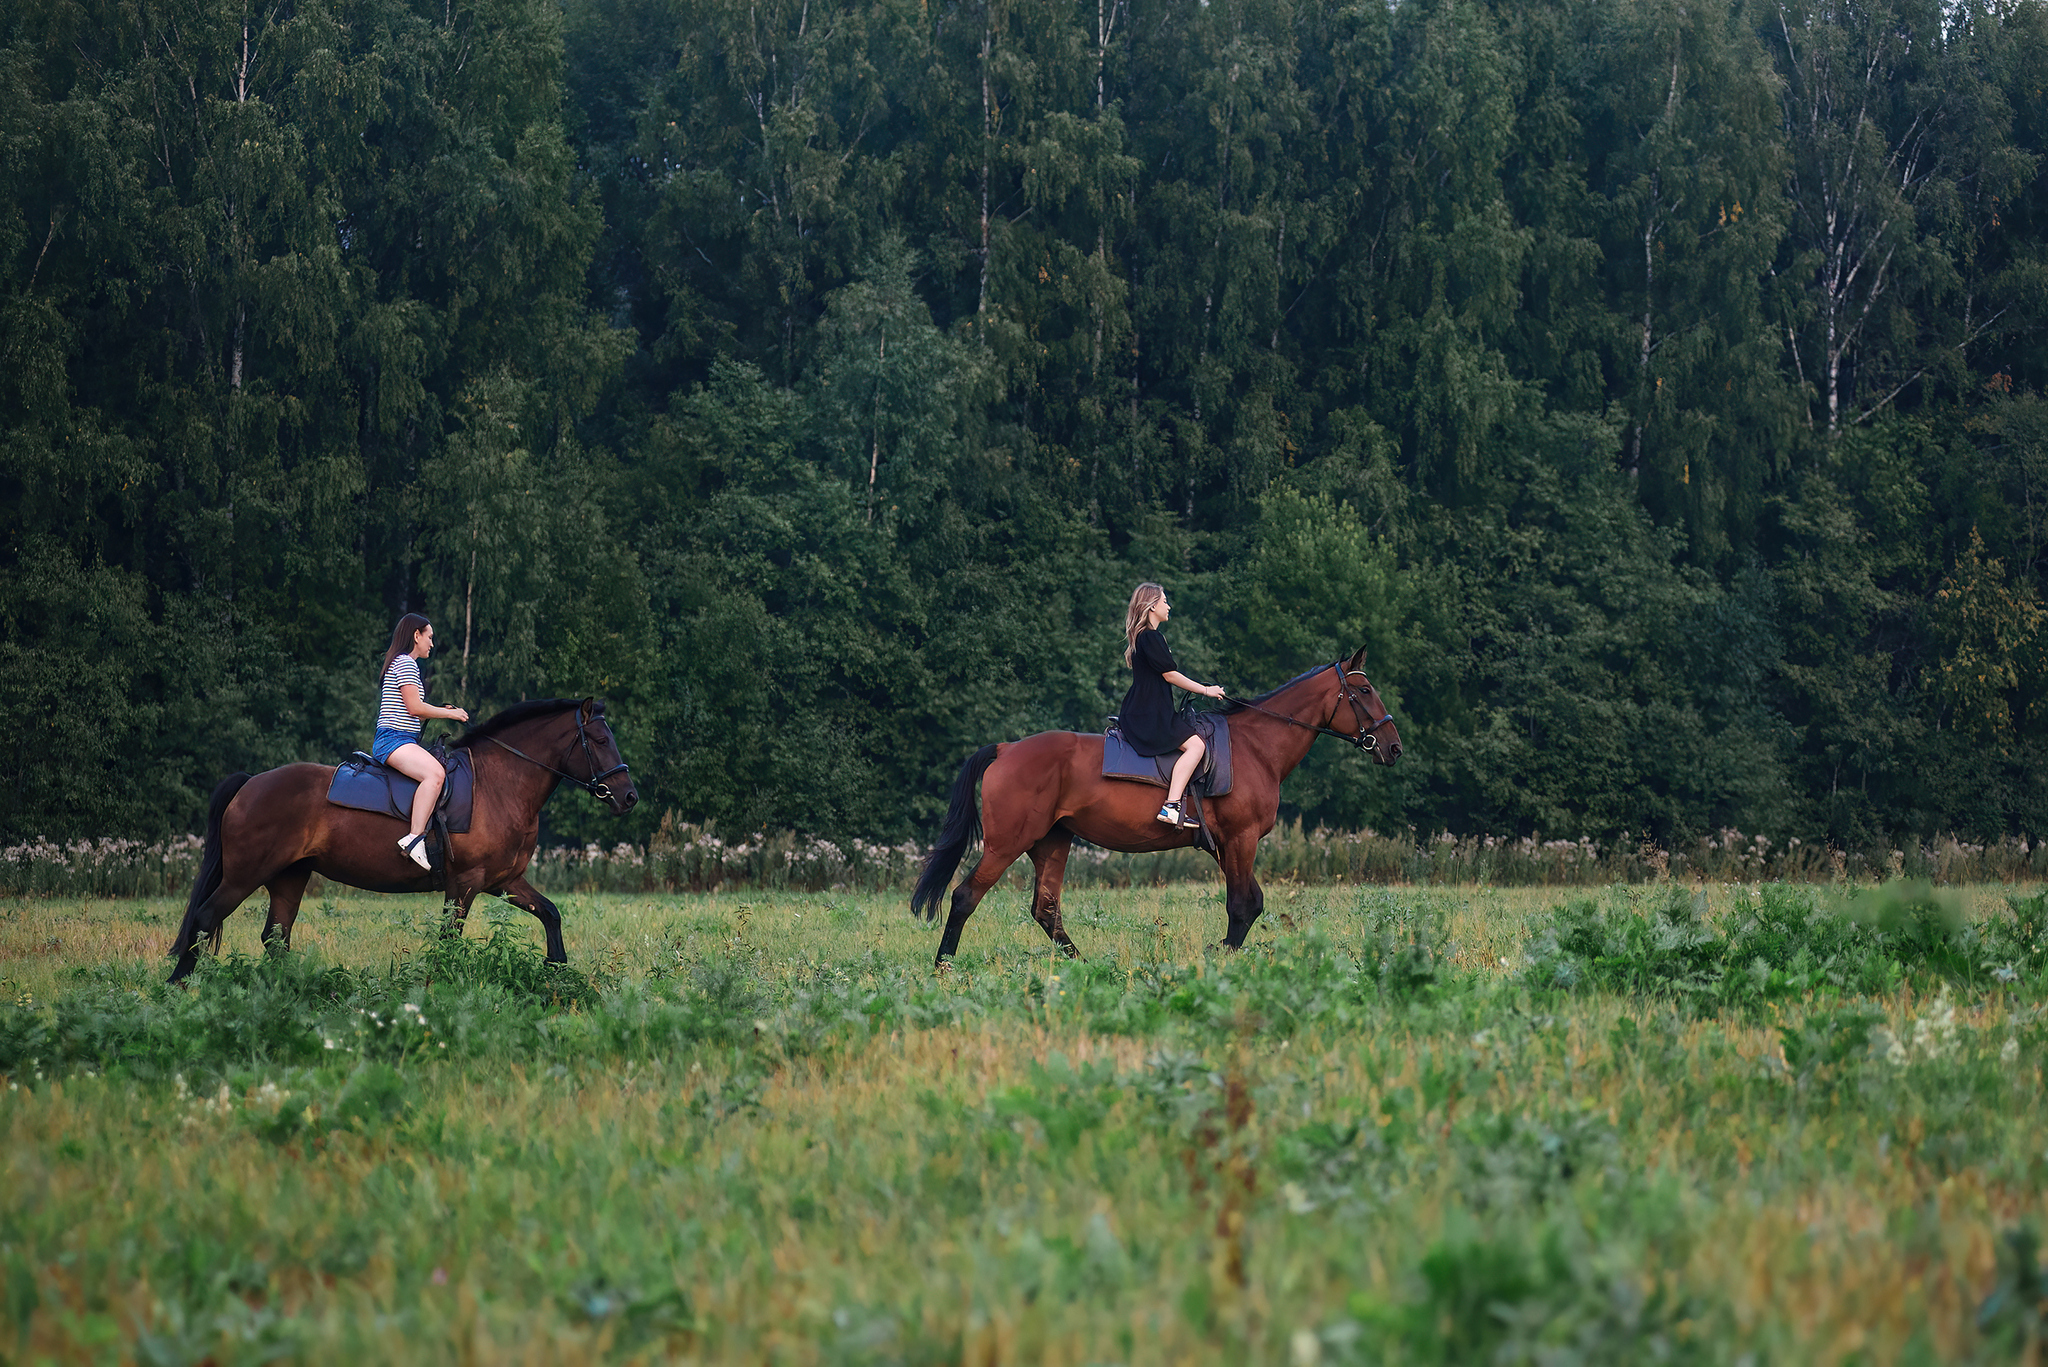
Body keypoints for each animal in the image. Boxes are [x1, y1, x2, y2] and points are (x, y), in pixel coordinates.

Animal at [165, 696, 630, 983]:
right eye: (600, 740)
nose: (629, 796)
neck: (499, 784)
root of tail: (250, 783)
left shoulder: (503, 881)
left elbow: (551, 914)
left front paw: (558, 972)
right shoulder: (465, 884)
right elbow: (448, 942)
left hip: (289, 877)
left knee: (275, 937)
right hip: (244, 875)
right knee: (205, 919)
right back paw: (177, 988)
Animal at [921, 651, 1400, 963]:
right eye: (1364, 690)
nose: (1393, 748)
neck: (1255, 747)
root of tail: (1007, 749)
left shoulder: (1226, 844)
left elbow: (1250, 901)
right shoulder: (1240, 839)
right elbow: (1243, 905)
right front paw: (1221, 956)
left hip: (1052, 841)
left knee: (1046, 909)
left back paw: (1085, 967)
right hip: (1008, 842)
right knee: (965, 896)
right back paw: (944, 966)